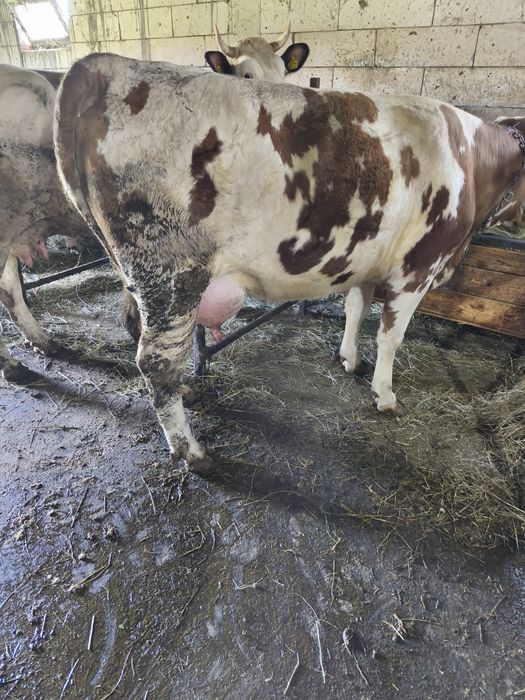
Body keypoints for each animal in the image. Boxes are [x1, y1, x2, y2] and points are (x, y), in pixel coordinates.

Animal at [54, 53, 525, 474]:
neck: (468, 157)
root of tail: (104, 64)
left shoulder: (368, 259)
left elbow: (356, 310)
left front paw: (349, 359)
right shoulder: (418, 267)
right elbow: (392, 336)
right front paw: (385, 395)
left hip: (137, 277)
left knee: (141, 335)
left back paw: (187, 392)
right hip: (171, 275)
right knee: (156, 361)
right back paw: (193, 451)